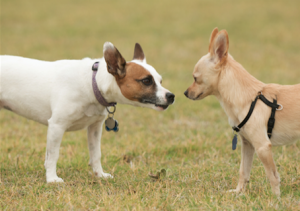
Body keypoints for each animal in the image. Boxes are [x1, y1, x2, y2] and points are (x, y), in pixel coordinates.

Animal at [0, 42, 175, 182]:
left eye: (160, 81)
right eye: (146, 81)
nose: (171, 96)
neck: (93, 83)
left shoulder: (95, 128)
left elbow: (95, 154)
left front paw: (100, 175)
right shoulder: (57, 126)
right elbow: (53, 155)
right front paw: (51, 179)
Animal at [184, 28, 300, 196]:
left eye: (195, 78)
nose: (185, 93)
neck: (248, 97)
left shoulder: (262, 147)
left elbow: (272, 175)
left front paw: (275, 197)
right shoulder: (247, 144)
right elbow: (243, 171)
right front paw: (238, 192)